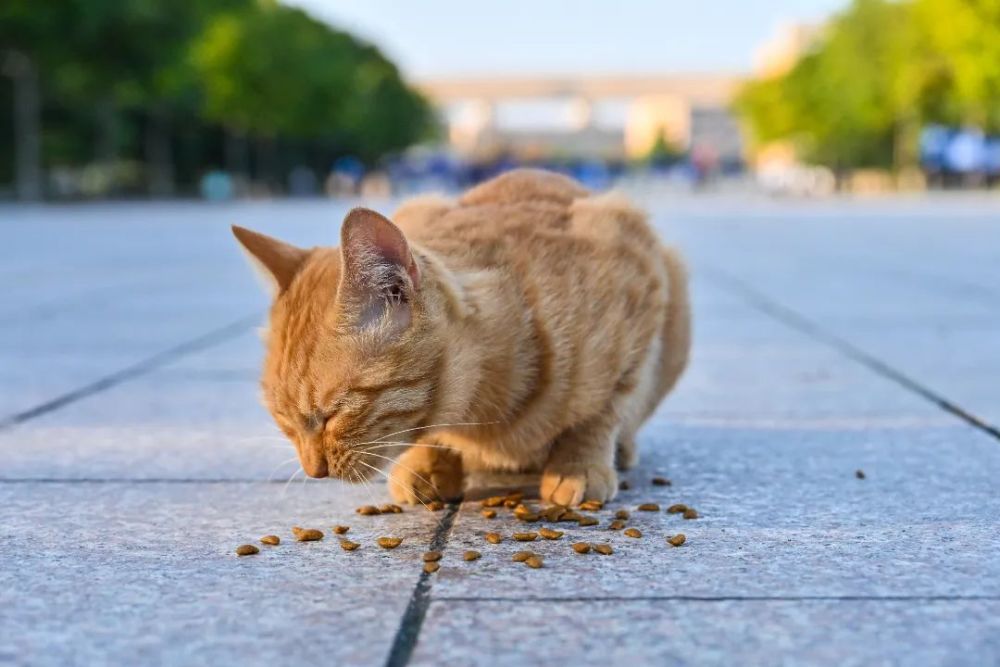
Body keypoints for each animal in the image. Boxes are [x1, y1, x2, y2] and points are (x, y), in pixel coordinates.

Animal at [233, 170, 688, 504]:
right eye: (284, 422)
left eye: (332, 413)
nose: (314, 472)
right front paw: (426, 464)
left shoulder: (638, 269)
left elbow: (604, 411)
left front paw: (578, 465)